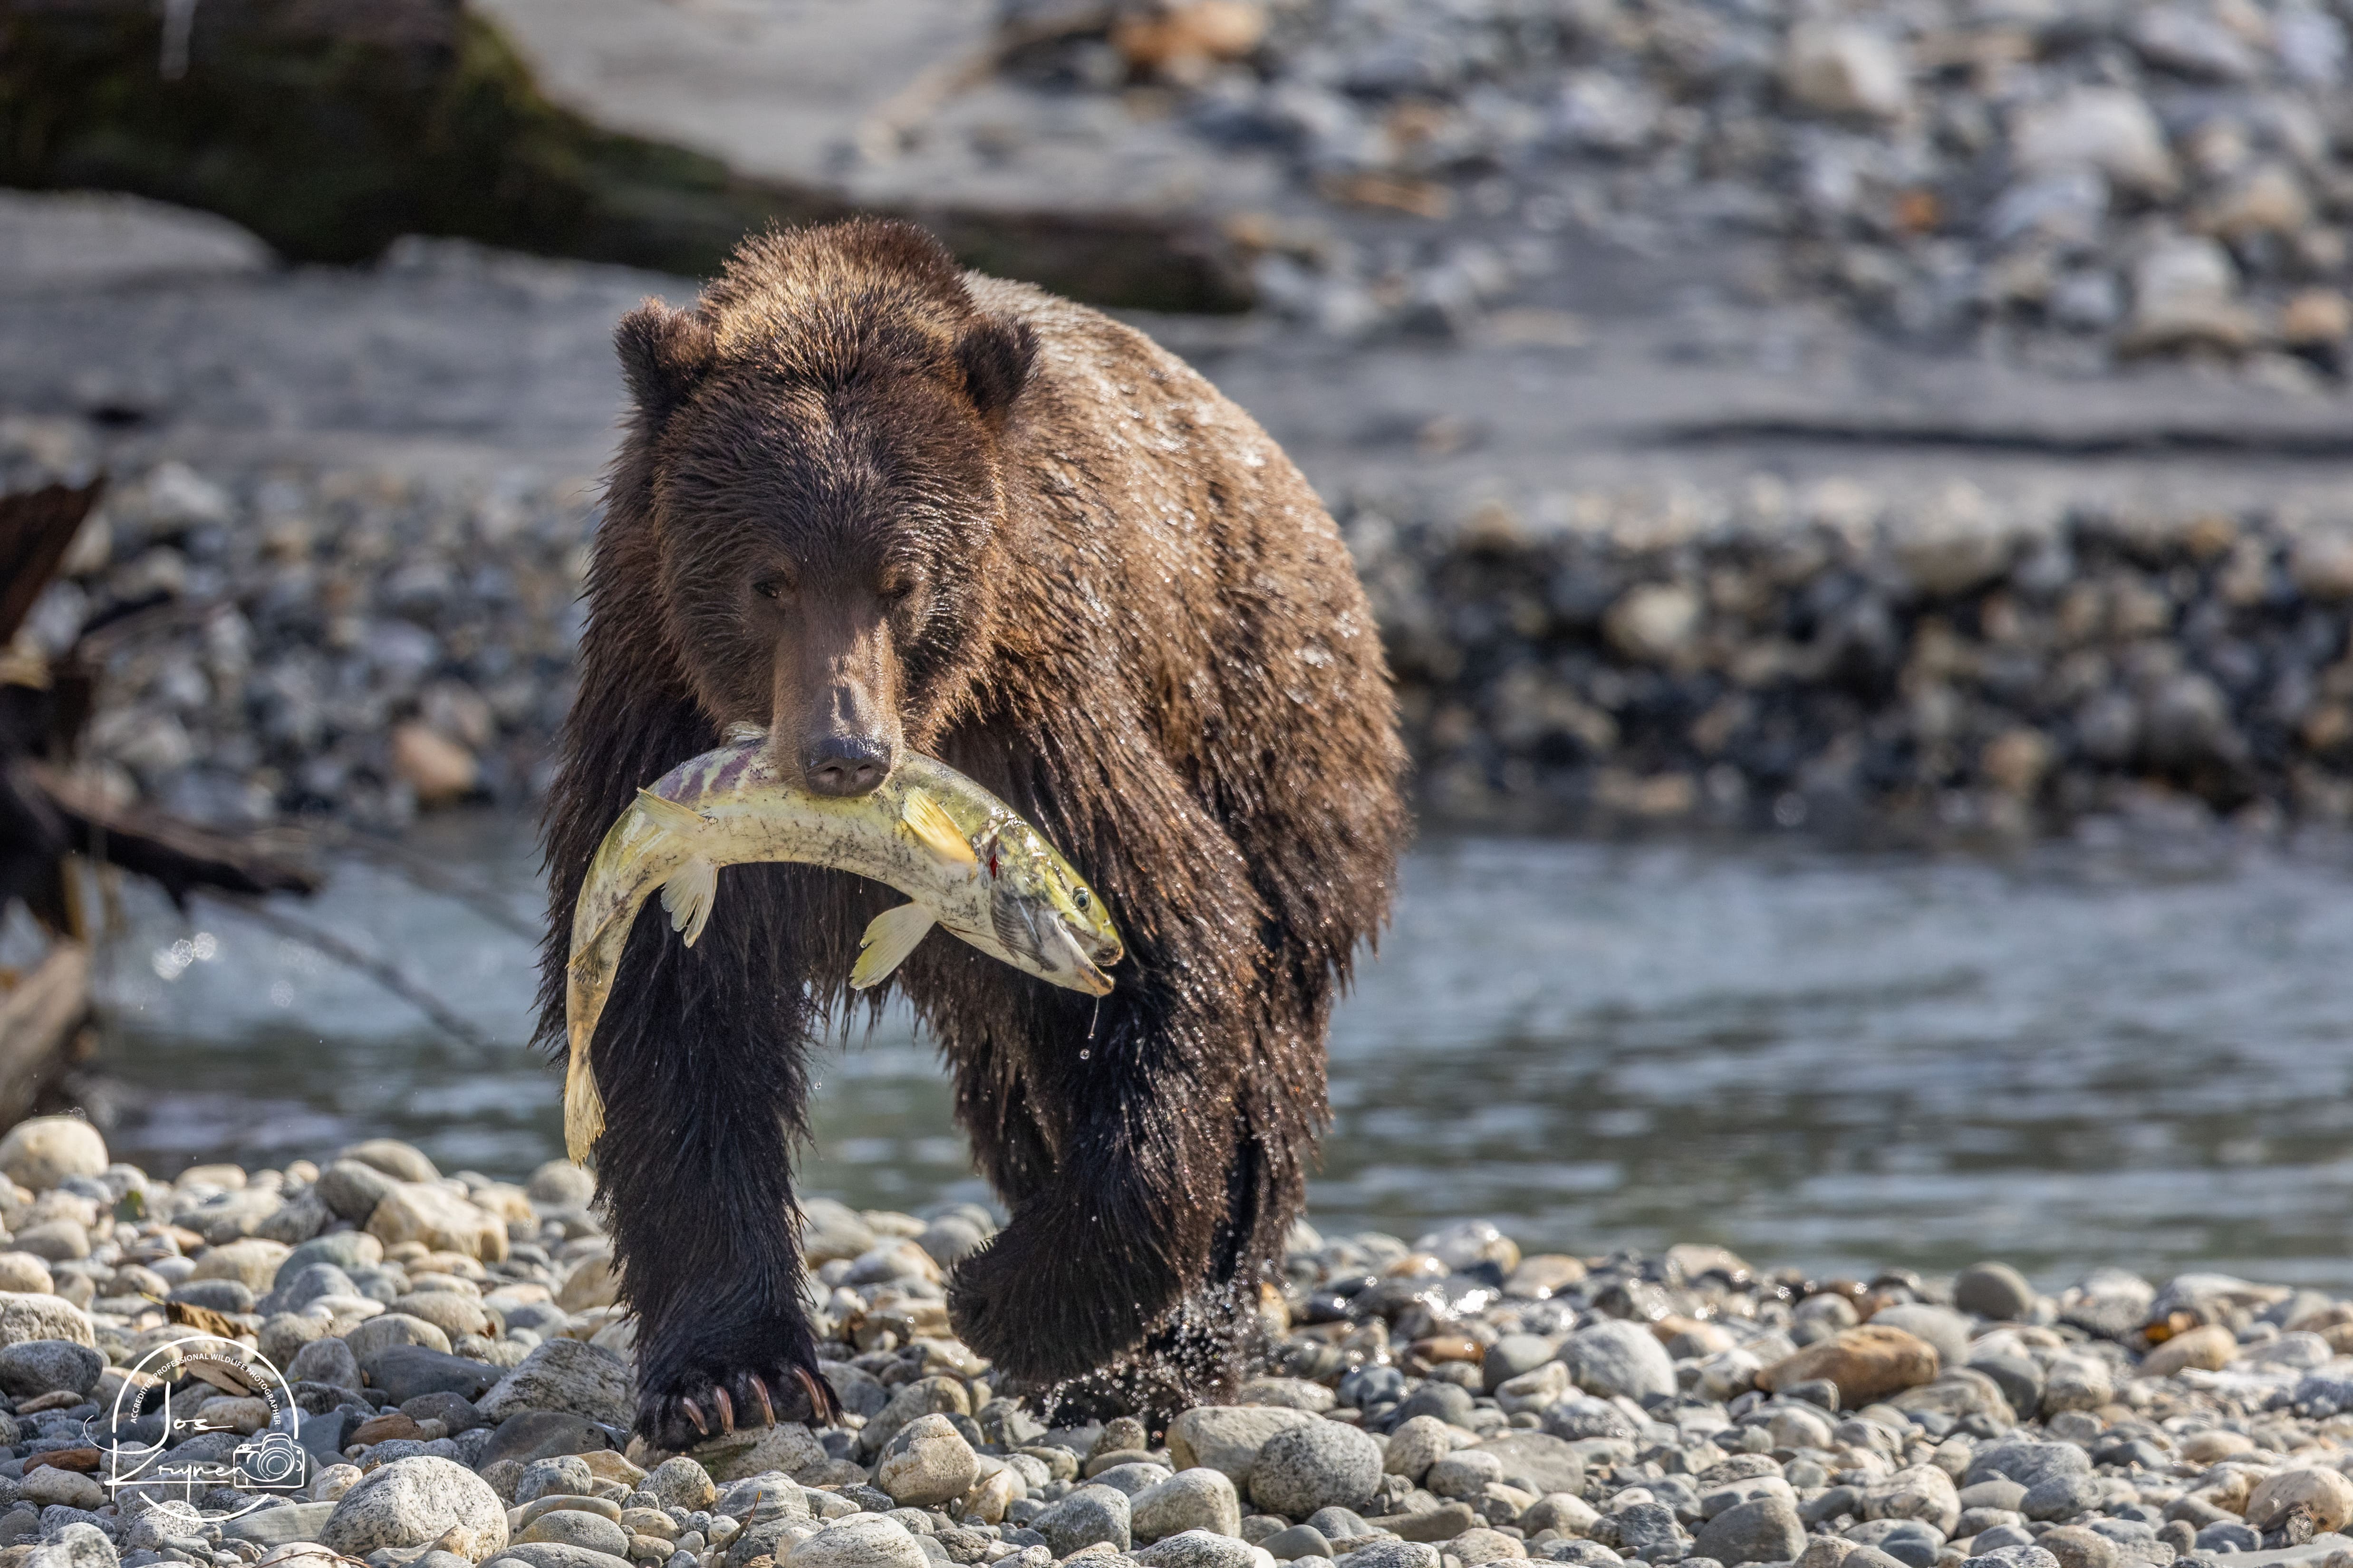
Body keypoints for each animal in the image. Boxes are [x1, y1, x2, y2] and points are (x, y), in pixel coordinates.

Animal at [535, 217, 1406, 1447]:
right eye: (768, 578)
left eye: (904, 580)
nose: (845, 750)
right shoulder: (653, 728)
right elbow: (676, 1020)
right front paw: (731, 1374)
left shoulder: (1042, 718)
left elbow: (1174, 945)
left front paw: (1010, 1299)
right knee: (1017, 1081)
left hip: (1274, 729)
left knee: (1262, 1067)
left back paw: (1178, 1349)